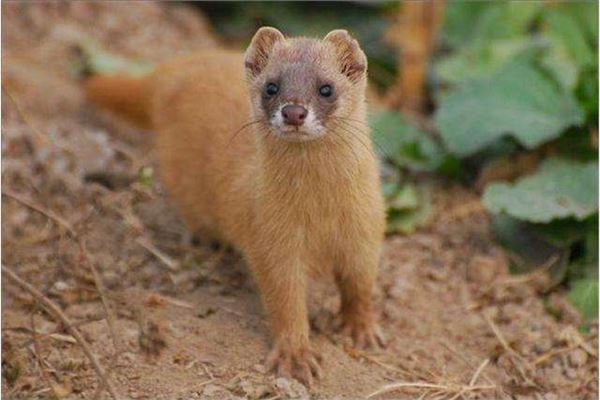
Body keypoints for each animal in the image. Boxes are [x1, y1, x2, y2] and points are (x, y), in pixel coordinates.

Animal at [83, 27, 384, 384]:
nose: (293, 112)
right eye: (271, 86)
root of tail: (174, 68)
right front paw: (295, 356)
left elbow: (360, 284)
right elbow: (285, 301)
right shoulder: (270, 239)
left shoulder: (366, 230)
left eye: (326, 88)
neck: (321, 212)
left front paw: (362, 329)